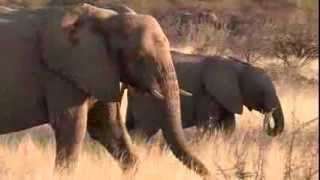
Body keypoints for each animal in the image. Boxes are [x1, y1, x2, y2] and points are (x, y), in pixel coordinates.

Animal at [0, 4, 210, 177]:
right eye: (140, 57)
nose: (212, 173)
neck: (107, 19)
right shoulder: (62, 74)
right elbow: (71, 126)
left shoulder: (102, 71)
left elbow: (108, 128)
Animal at [125, 51, 284, 139]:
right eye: (262, 92)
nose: (268, 123)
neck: (240, 67)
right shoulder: (207, 93)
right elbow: (206, 125)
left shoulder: (226, 96)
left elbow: (229, 126)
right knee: (143, 131)